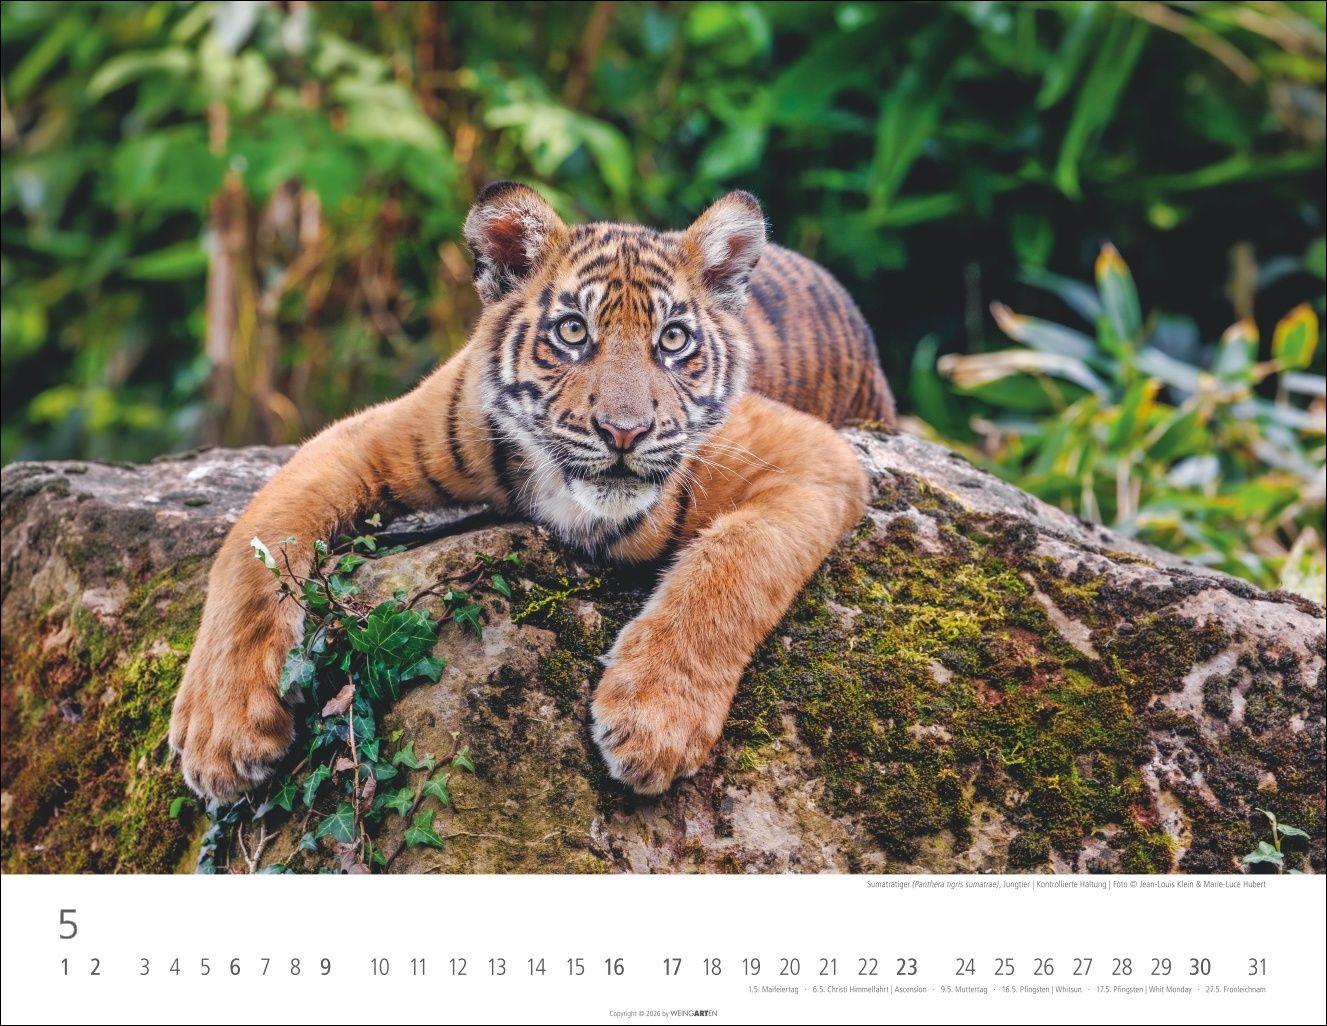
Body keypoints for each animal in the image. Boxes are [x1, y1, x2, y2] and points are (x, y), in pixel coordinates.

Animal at [169, 183, 895, 800]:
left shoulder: (814, 457)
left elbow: (735, 565)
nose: (624, 432)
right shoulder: (366, 438)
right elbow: (251, 544)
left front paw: (653, 720)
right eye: (572, 332)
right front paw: (220, 734)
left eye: (673, 339)